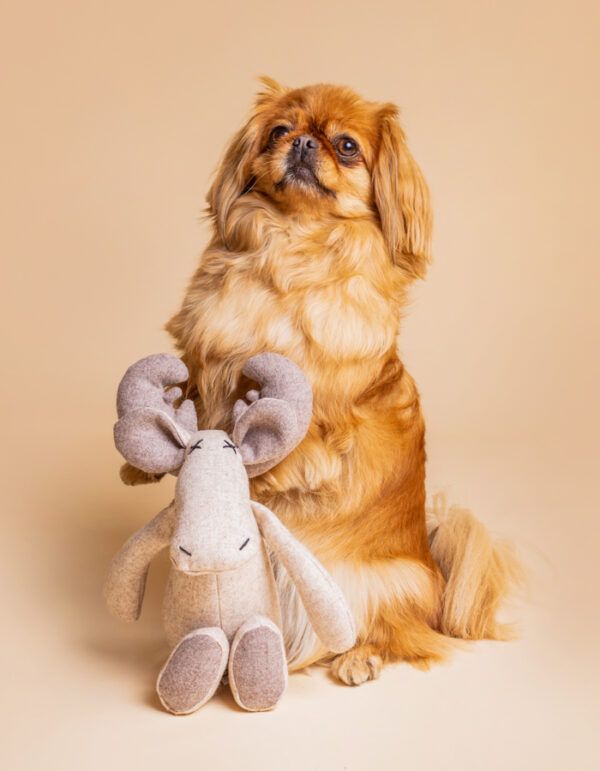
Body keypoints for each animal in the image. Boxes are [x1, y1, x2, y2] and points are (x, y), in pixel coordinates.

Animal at [122, 75, 520, 684]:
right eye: (280, 131)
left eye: (347, 145)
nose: (306, 143)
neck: (290, 246)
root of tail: (437, 570)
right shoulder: (203, 356)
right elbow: (181, 396)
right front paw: (143, 461)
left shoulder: (318, 400)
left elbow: (285, 436)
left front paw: (259, 473)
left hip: (386, 582)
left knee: (398, 634)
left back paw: (359, 657)